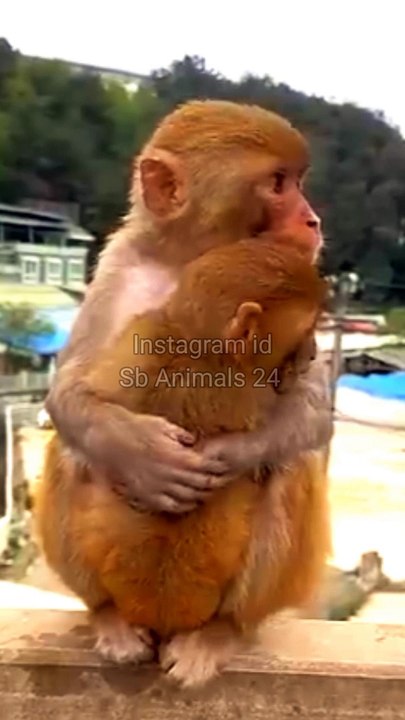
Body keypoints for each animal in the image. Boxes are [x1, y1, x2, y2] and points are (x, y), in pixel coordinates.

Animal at [35, 234, 331, 688]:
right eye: (306, 333)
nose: (313, 354)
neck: (198, 337)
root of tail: (165, 613)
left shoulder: (143, 329)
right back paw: (122, 616)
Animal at [45, 99, 331, 521]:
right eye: (278, 183)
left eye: (298, 181)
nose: (313, 221)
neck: (187, 259)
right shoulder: (119, 265)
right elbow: (68, 389)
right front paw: (139, 455)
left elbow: (314, 409)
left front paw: (232, 452)